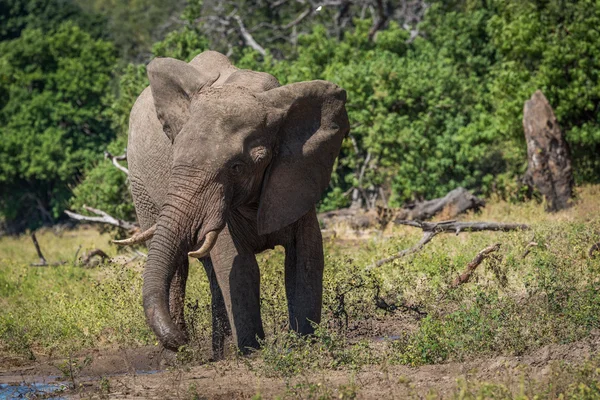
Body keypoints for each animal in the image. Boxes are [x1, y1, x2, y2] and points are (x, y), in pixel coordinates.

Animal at [117, 50, 350, 360]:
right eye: (174, 154)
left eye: (237, 167)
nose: (183, 340)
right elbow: (238, 264)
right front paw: (251, 352)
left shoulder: (297, 173)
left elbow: (306, 256)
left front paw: (304, 344)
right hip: (139, 182)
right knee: (180, 265)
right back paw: (179, 358)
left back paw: (214, 350)